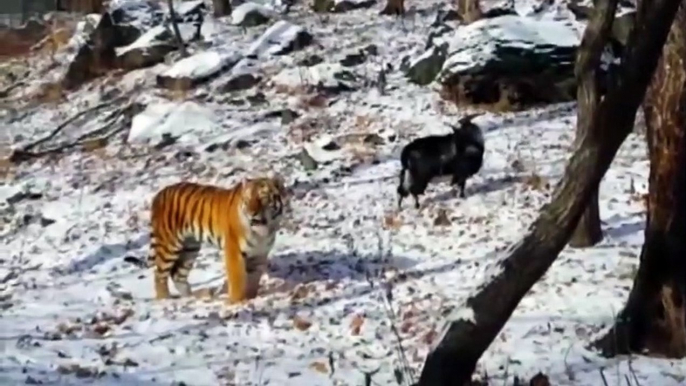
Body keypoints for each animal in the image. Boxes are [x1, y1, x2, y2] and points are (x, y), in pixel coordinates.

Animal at [125, 175, 292, 304]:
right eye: (247, 199)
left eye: (263, 197)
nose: (252, 213)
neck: (264, 230)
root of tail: (158, 194)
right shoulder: (234, 251)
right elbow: (237, 279)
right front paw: (237, 302)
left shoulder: (259, 255)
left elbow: (253, 279)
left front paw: (251, 298)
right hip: (169, 245)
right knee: (159, 274)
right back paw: (165, 300)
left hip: (190, 248)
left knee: (177, 274)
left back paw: (193, 297)